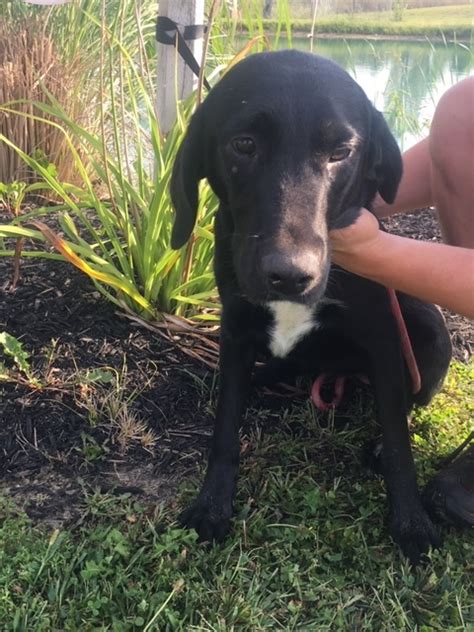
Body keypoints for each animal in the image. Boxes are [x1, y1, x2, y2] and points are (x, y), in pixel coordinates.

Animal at [170, 50, 452, 564]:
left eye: (341, 152)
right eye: (244, 144)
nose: (289, 275)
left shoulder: (384, 336)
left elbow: (399, 444)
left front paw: (411, 521)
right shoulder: (235, 326)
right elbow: (225, 429)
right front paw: (212, 505)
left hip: (428, 327)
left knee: (407, 400)